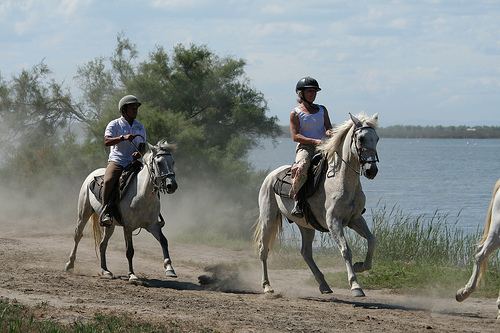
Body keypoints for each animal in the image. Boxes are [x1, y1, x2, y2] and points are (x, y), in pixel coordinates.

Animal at [64, 139, 178, 280]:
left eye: (173, 162)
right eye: (159, 163)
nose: (172, 185)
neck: (142, 194)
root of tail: (92, 174)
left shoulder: (153, 225)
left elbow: (164, 241)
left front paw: (169, 268)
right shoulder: (128, 226)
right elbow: (129, 250)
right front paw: (132, 275)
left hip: (110, 225)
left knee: (102, 244)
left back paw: (105, 271)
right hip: (83, 213)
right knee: (77, 236)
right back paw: (69, 265)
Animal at [254, 112, 378, 296]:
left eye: (376, 138)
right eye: (361, 138)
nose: (372, 170)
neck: (341, 180)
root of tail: (271, 175)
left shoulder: (355, 219)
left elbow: (372, 241)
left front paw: (361, 266)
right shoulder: (333, 221)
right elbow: (346, 250)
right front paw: (356, 286)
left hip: (306, 226)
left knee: (306, 253)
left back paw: (324, 285)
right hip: (268, 218)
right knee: (263, 249)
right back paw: (267, 286)